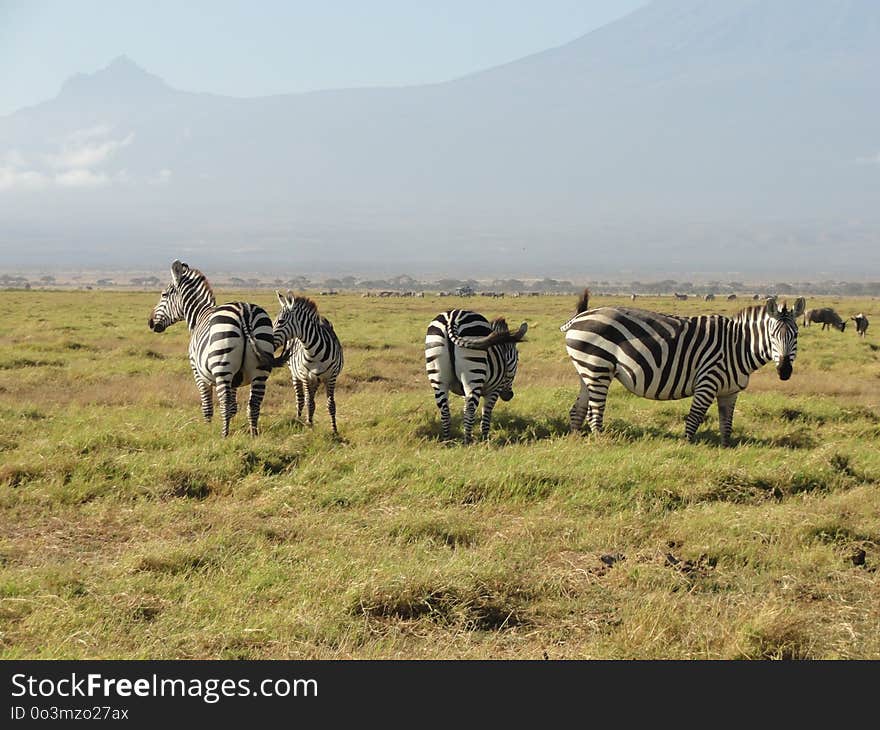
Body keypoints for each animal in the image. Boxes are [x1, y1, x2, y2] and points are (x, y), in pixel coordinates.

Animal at [147, 258, 286, 436]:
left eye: (164, 294)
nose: (150, 322)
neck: (199, 315)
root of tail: (244, 312)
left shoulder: (197, 372)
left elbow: (207, 405)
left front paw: (207, 430)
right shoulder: (235, 380)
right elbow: (234, 407)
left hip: (222, 368)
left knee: (225, 404)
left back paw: (223, 436)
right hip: (260, 369)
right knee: (254, 404)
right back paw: (253, 435)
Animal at [274, 290, 346, 432]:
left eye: (280, 321)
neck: (313, 351)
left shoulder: (331, 377)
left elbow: (331, 404)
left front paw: (334, 430)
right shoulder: (305, 376)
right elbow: (308, 402)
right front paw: (309, 426)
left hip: (317, 379)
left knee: (310, 398)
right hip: (295, 374)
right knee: (301, 399)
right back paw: (299, 420)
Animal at [422, 310, 524, 440]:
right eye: (517, 359)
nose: (509, 396)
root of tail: (453, 318)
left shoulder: (463, 391)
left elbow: (465, 410)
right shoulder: (494, 389)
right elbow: (486, 415)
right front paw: (485, 439)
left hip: (438, 375)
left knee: (445, 411)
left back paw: (447, 440)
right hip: (474, 372)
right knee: (470, 410)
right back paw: (468, 441)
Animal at [564, 288, 804, 444]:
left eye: (796, 335)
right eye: (772, 336)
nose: (784, 371)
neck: (737, 345)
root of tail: (579, 317)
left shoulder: (730, 391)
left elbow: (726, 423)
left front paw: (725, 450)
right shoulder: (707, 381)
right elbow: (695, 417)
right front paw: (686, 447)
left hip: (587, 370)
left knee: (578, 410)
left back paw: (577, 441)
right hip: (598, 368)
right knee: (594, 412)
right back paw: (602, 442)